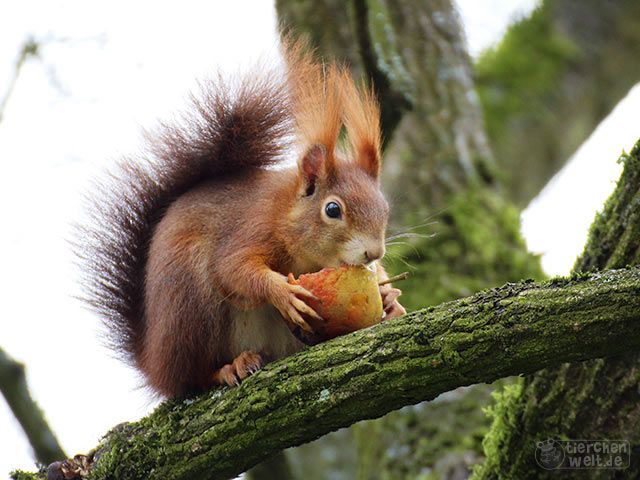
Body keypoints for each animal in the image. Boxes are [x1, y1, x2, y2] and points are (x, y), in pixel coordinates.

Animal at [76, 41, 404, 396]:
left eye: (385, 207)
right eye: (333, 210)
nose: (374, 252)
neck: (284, 216)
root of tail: (155, 364)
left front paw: (389, 297)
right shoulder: (251, 229)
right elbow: (233, 269)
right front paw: (283, 293)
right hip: (190, 303)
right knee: (192, 378)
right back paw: (227, 368)